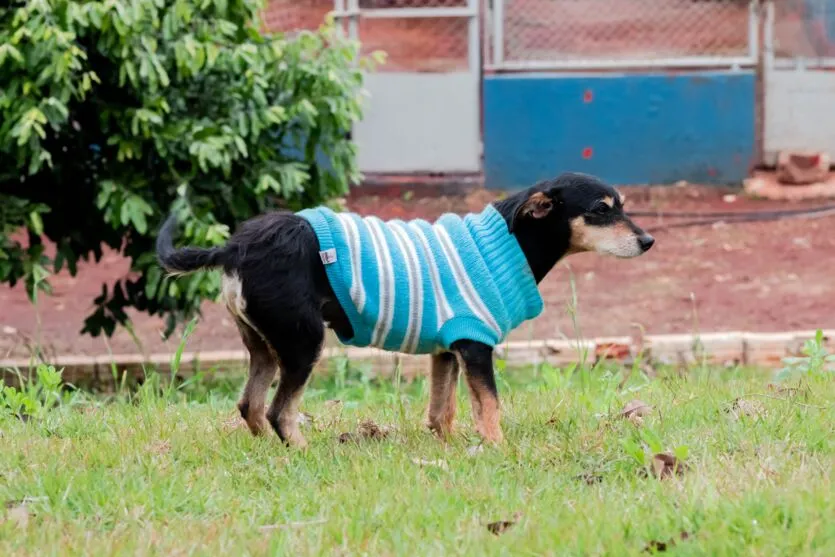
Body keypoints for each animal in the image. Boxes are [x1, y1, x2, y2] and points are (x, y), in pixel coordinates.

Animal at [155, 172, 652, 446]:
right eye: (602, 210)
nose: (648, 240)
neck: (509, 240)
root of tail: (235, 246)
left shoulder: (448, 348)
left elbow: (441, 412)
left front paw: (451, 446)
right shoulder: (476, 345)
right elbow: (489, 408)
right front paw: (499, 449)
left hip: (264, 345)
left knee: (250, 405)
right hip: (303, 343)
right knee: (279, 411)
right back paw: (303, 451)